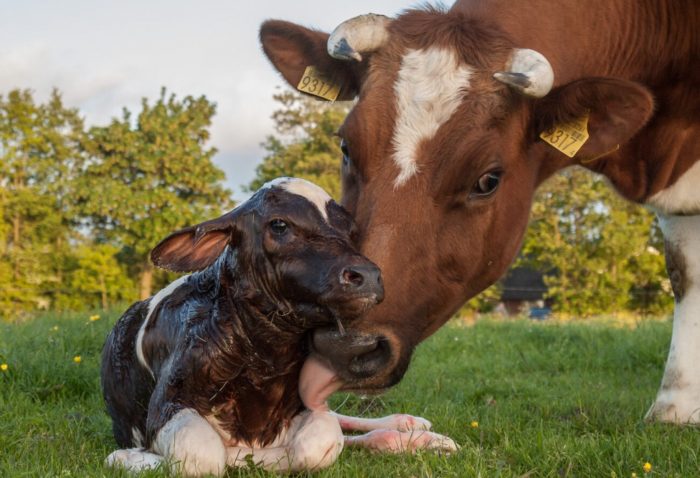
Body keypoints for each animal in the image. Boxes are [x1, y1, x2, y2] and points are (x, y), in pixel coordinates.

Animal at [101, 177, 456, 476]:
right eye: (280, 224)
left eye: (350, 231)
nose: (367, 275)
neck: (264, 357)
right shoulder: (167, 401)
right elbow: (203, 455)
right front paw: (131, 457)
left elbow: (322, 440)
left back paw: (413, 429)